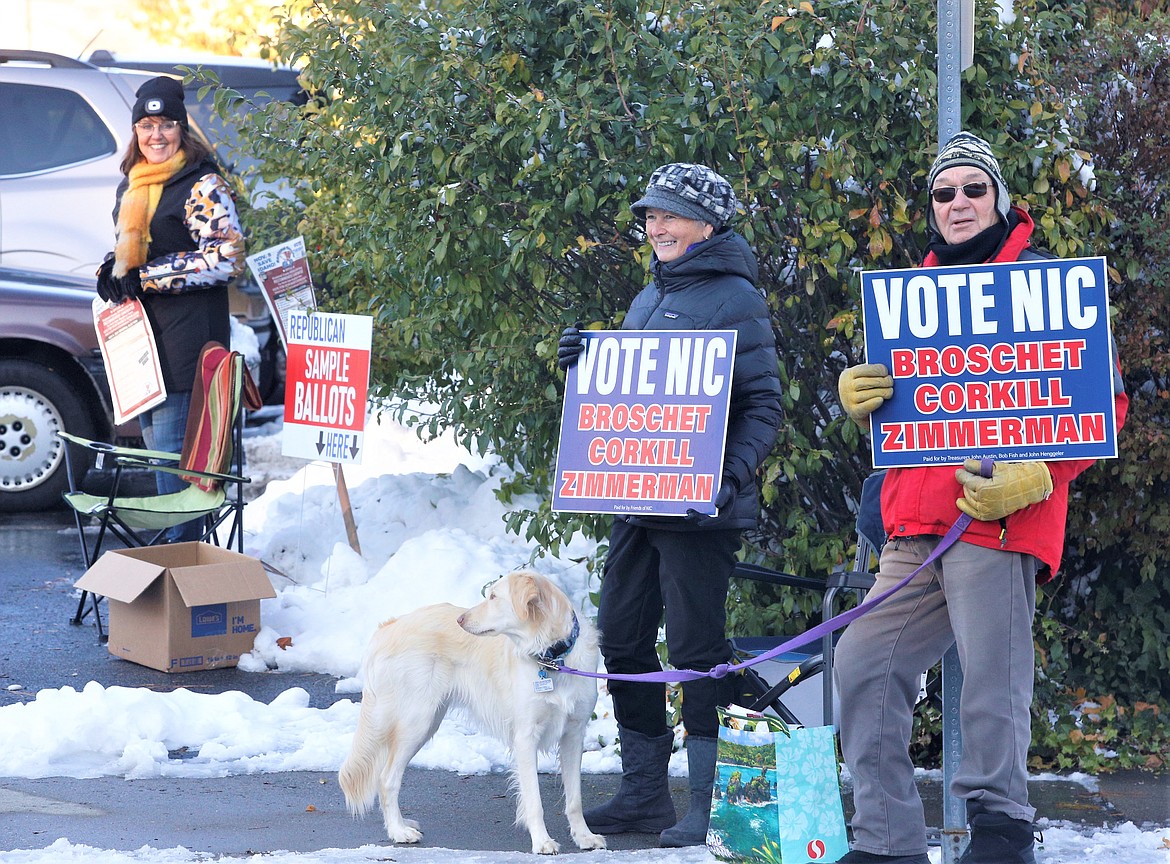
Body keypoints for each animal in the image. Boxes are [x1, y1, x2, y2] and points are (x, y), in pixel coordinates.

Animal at [339, 568, 608, 852]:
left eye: (494, 597)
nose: (460, 619)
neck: (553, 658)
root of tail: (389, 626)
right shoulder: (525, 737)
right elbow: (534, 801)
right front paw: (542, 841)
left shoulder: (574, 734)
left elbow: (575, 799)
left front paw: (583, 836)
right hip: (416, 723)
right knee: (386, 779)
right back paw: (399, 831)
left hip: (428, 721)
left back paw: (402, 824)